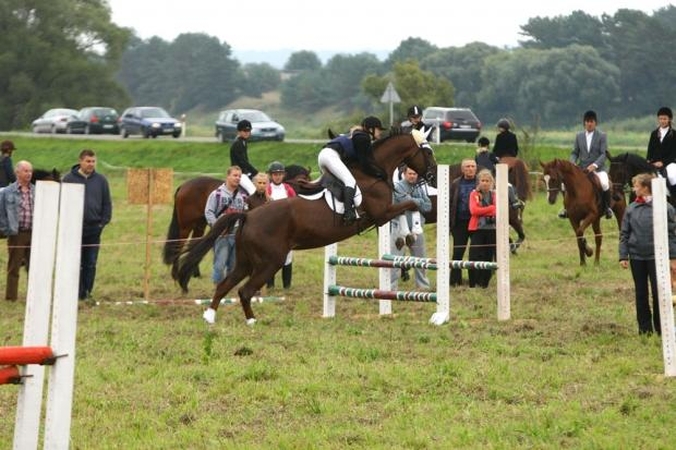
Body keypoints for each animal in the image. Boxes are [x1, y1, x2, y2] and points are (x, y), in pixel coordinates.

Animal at [173, 130, 438, 324]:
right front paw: (408, 235)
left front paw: (407, 236)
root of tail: (248, 215)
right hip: (270, 261)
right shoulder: (382, 214)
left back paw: (210, 316)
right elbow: (410, 204)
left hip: (246, 261)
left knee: (225, 285)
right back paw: (252, 322)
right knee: (245, 291)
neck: (373, 172)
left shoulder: (384, 213)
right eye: (428, 152)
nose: (434, 176)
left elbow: (408, 206)